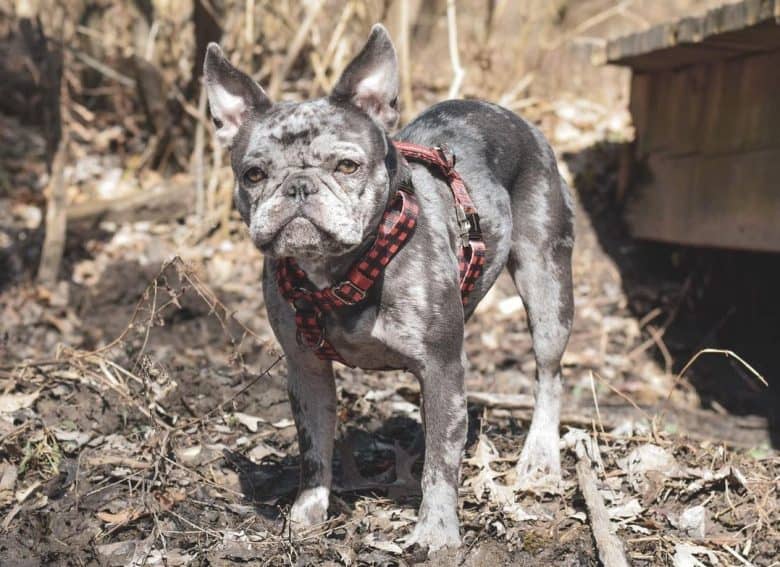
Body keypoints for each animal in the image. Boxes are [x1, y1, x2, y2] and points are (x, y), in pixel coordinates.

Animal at [204, 24, 576, 552]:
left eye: (346, 166)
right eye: (253, 174)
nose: (298, 187)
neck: (342, 271)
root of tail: (513, 116)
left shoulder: (442, 367)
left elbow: (442, 461)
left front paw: (436, 531)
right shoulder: (307, 369)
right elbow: (314, 448)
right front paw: (307, 514)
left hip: (546, 283)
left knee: (549, 373)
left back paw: (539, 457)